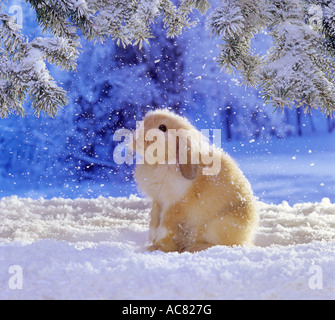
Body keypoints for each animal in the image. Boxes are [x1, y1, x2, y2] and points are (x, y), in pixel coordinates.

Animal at [134, 109, 260, 252]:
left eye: (162, 127)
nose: (137, 139)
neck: (163, 162)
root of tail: (248, 235)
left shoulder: (176, 204)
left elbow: (165, 226)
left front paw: (159, 244)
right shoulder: (158, 201)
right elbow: (154, 220)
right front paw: (153, 242)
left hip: (215, 227)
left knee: (226, 244)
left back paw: (194, 247)